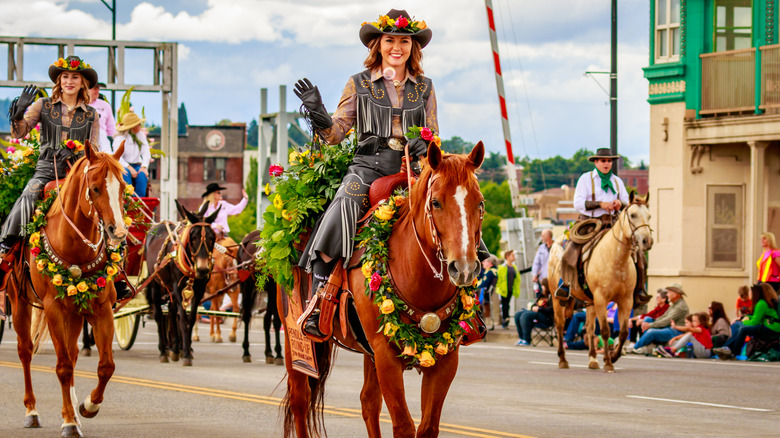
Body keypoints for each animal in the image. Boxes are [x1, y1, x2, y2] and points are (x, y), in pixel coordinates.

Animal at [5, 142, 127, 436]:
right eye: (95, 188)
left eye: (122, 186)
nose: (118, 232)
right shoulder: (53, 309)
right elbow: (62, 368)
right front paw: (69, 421)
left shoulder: (101, 309)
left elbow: (106, 366)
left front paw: (87, 407)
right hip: (19, 301)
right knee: (26, 352)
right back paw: (32, 411)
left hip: (74, 313)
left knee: (72, 355)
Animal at [280, 142, 488, 436]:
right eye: (435, 202)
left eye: (479, 203)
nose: (465, 267)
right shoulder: (386, 357)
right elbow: (403, 425)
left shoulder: (447, 359)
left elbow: (427, 427)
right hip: (294, 337)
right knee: (300, 398)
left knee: (368, 402)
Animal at [548, 192, 652, 372]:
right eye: (633, 215)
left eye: (649, 216)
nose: (647, 241)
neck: (616, 260)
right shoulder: (601, 299)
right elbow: (605, 331)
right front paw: (609, 362)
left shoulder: (626, 301)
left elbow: (623, 332)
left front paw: (614, 356)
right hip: (557, 299)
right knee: (560, 325)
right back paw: (563, 360)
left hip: (590, 302)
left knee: (589, 328)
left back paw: (593, 360)